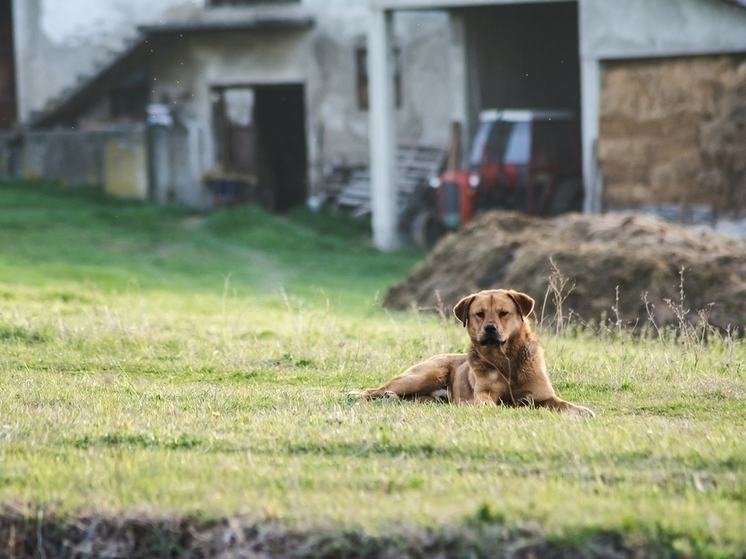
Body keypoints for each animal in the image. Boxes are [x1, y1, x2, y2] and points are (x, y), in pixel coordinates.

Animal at [354, 290, 592, 418]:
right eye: (479, 314)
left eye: (503, 313)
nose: (490, 328)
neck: (505, 362)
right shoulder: (484, 394)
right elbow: (490, 403)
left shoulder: (543, 396)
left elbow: (563, 404)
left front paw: (582, 410)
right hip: (423, 375)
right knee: (376, 389)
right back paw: (359, 395)